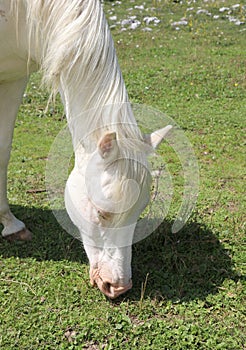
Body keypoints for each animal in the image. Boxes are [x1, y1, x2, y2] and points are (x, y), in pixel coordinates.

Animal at [0, 0, 171, 298]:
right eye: (101, 212)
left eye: (140, 211)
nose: (118, 286)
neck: (19, 11)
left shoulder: (14, 78)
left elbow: (3, 148)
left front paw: (10, 225)